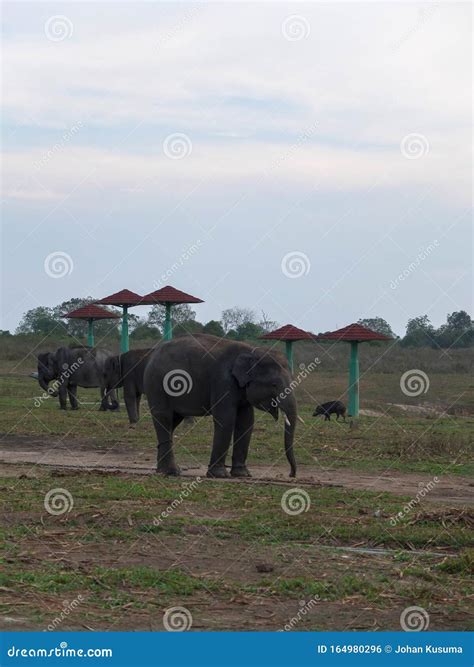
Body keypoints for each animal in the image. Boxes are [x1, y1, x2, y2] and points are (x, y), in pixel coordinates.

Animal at [143, 334, 297, 478]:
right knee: (164, 417)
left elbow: (246, 422)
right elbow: (226, 419)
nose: (291, 474)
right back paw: (171, 472)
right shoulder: (223, 381)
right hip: (157, 384)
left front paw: (242, 474)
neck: (252, 352)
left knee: (172, 422)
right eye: (274, 385)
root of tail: (153, 354)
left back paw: (165, 471)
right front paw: (219, 475)